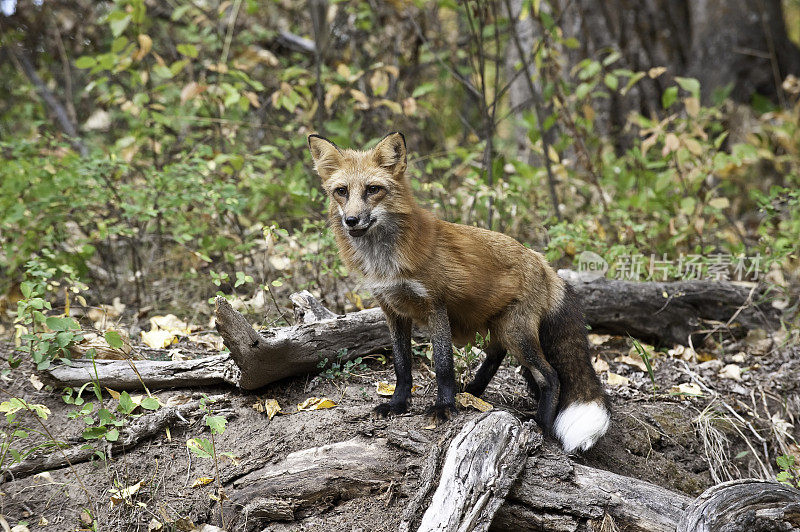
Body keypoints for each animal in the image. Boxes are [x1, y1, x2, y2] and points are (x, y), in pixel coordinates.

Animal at [310, 131, 608, 450]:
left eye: (373, 189)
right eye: (341, 191)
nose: (351, 220)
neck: (385, 262)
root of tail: (542, 262)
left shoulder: (435, 305)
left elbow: (443, 366)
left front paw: (444, 407)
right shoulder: (392, 310)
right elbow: (402, 366)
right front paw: (398, 404)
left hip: (516, 332)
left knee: (550, 376)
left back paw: (540, 424)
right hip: (500, 326)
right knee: (497, 355)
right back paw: (473, 392)